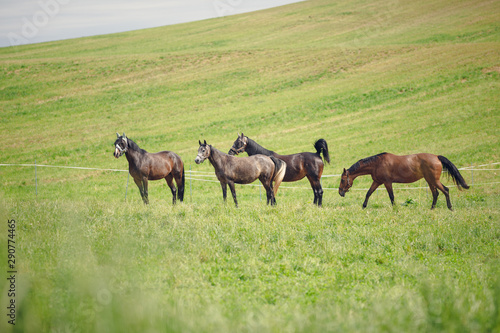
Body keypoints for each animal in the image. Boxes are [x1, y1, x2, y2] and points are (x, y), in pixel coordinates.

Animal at [338, 152, 470, 209]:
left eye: (343, 180)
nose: (340, 192)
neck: (377, 164)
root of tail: (437, 157)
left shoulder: (387, 182)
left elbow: (391, 196)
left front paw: (395, 208)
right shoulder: (377, 182)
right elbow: (368, 193)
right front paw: (364, 206)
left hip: (433, 180)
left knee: (445, 190)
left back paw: (450, 207)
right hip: (430, 181)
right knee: (435, 193)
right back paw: (432, 208)